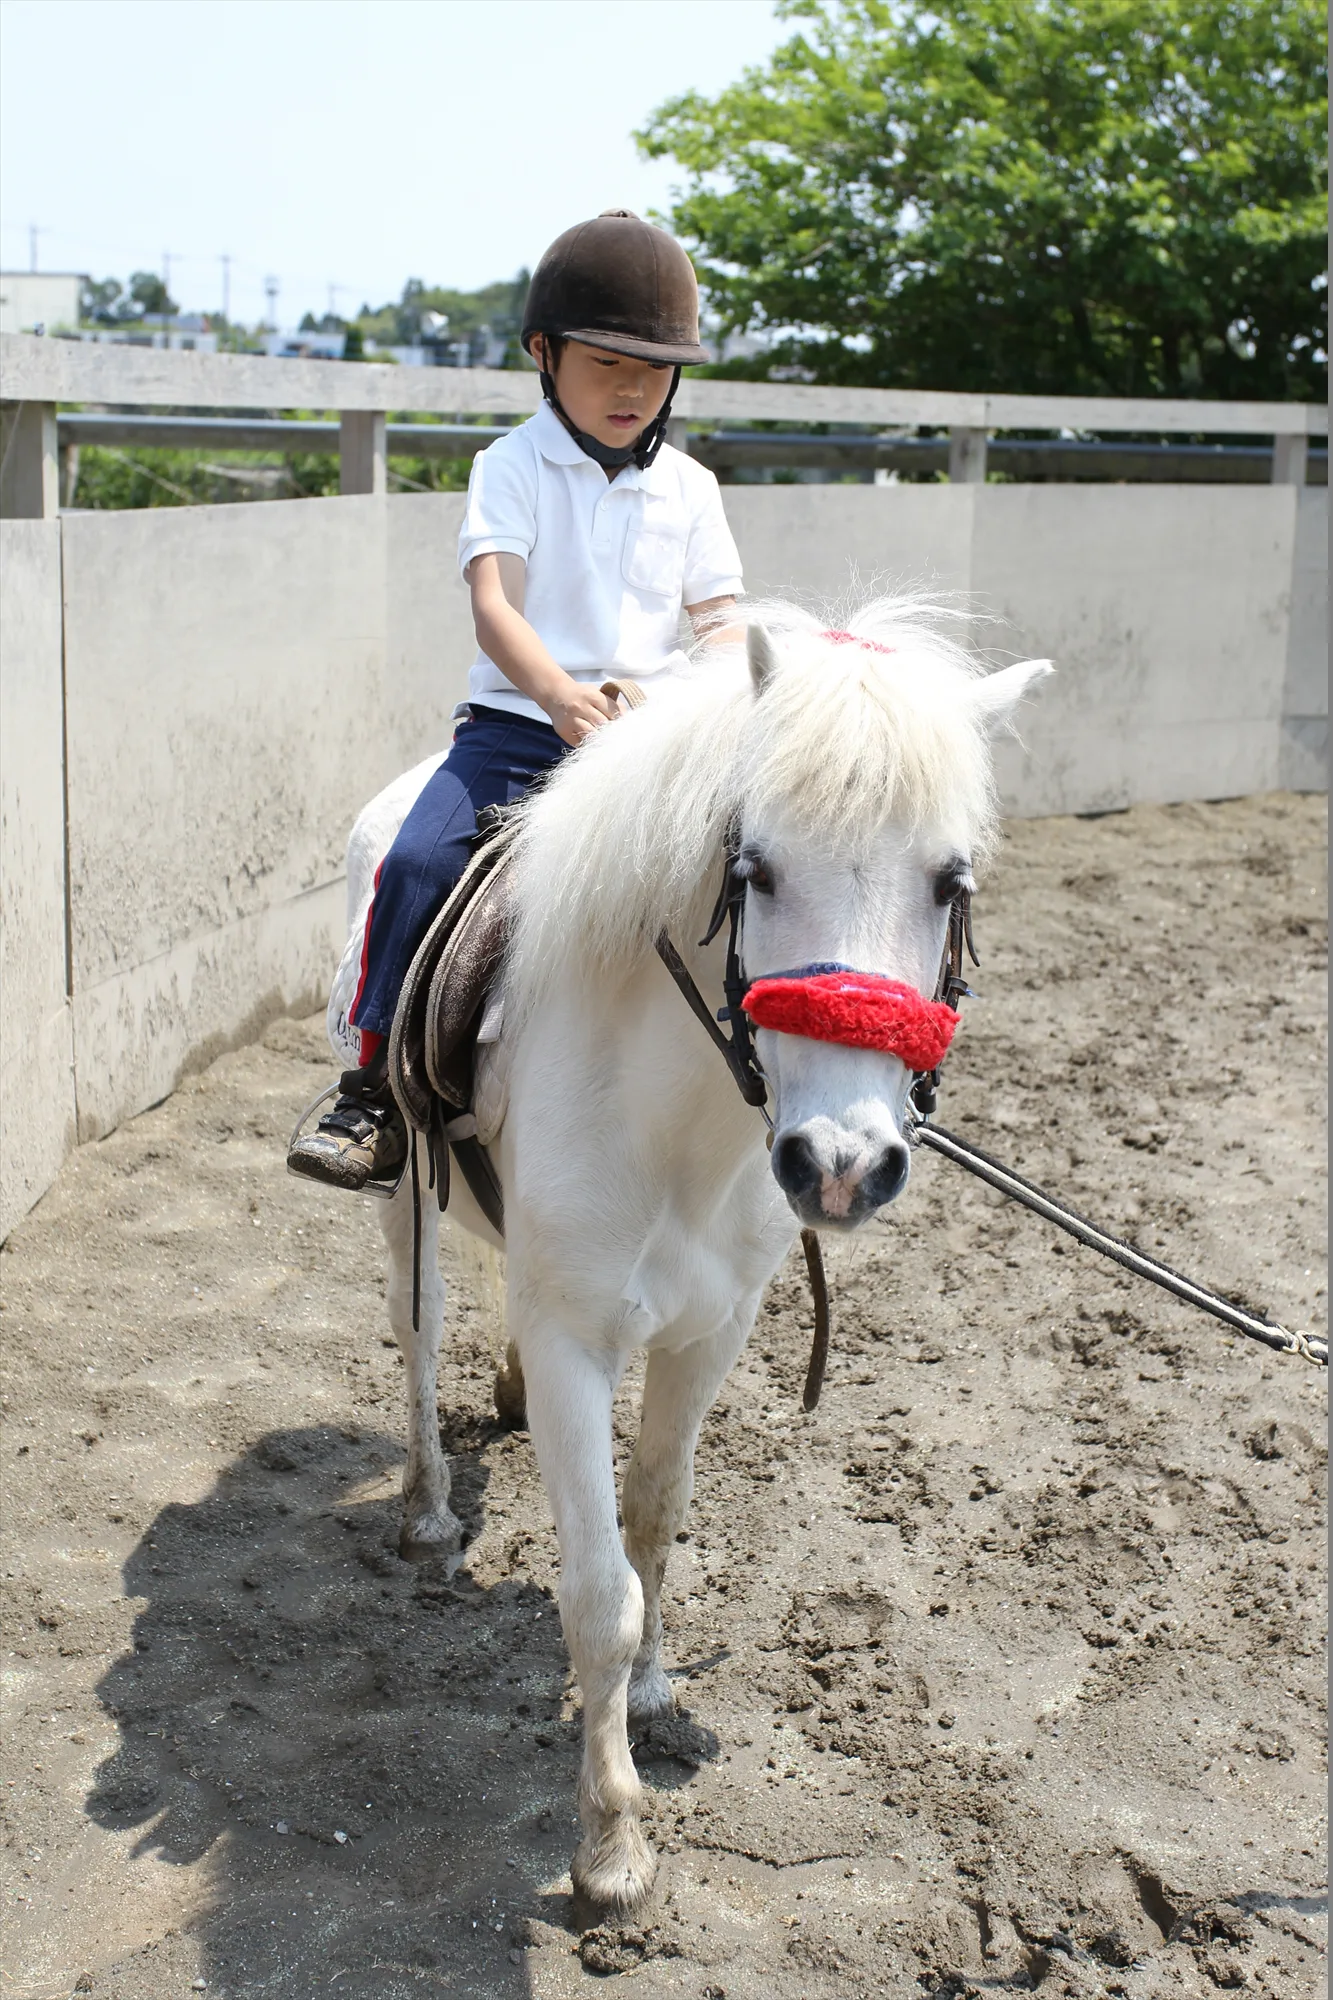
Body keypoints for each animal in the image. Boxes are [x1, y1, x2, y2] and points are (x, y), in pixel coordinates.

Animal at [342, 600, 1048, 1912]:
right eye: (754, 869)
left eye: (951, 882)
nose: (840, 1162)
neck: (674, 1123)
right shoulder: (578, 1339)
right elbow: (598, 1589)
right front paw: (611, 1841)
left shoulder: (712, 1329)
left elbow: (656, 1521)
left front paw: (658, 1696)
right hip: (402, 1191)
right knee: (417, 1333)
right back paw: (427, 1510)